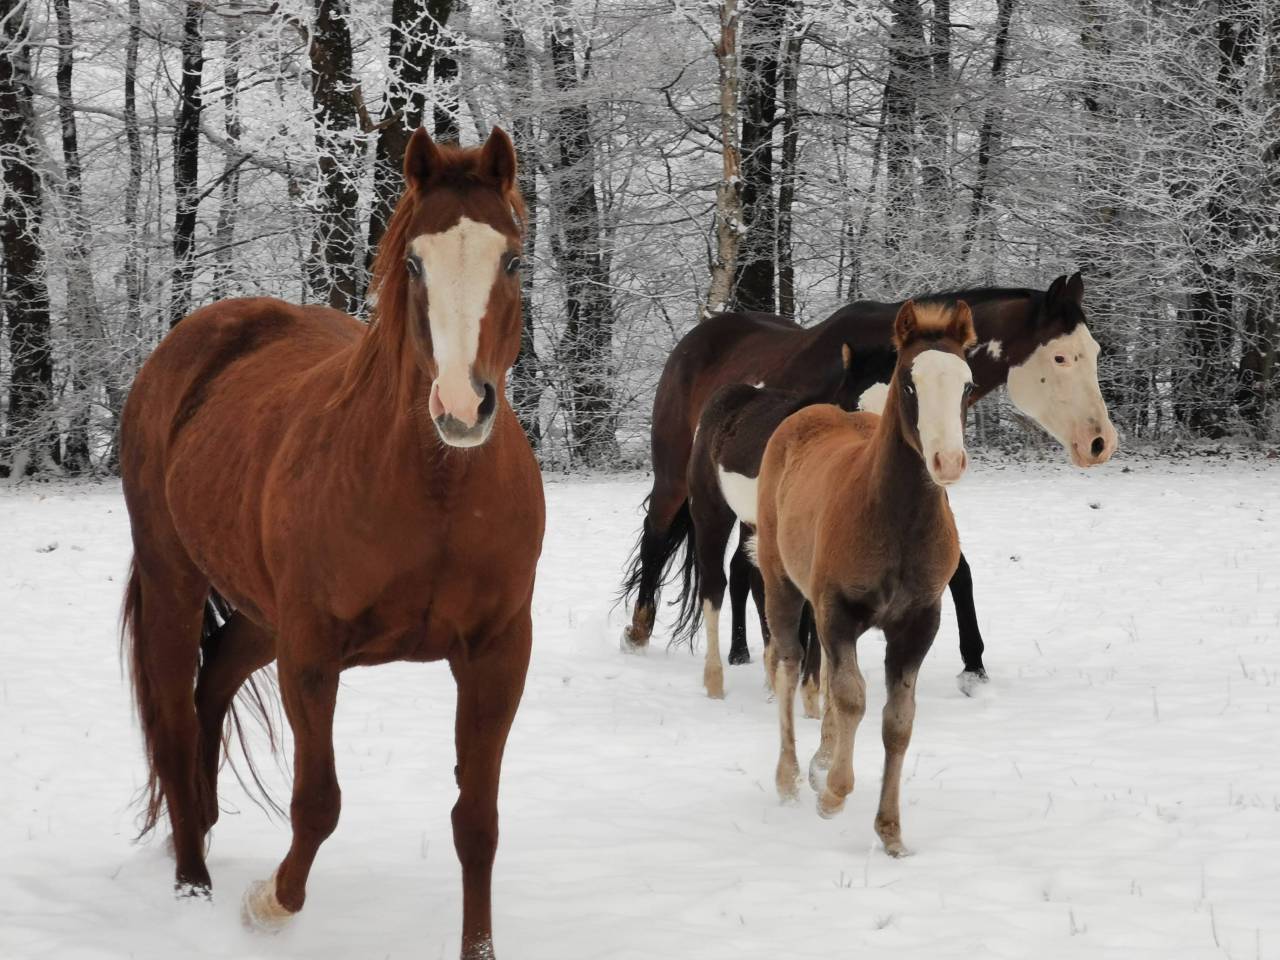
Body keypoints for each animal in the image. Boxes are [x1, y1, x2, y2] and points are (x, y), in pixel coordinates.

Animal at [118, 128, 542, 960]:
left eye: (510, 259)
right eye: (414, 263)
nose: (460, 405)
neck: (436, 493)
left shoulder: (499, 652)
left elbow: (477, 822)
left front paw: (478, 949)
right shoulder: (312, 651)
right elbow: (318, 802)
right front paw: (266, 906)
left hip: (260, 616)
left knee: (213, 685)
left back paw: (204, 829)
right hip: (177, 585)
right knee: (177, 718)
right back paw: (193, 881)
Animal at [620, 274, 1117, 677]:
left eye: (1094, 352)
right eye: (1060, 357)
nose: (1100, 443)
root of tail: (697, 338)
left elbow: (960, 571)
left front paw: (974, 665)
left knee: (743, 569)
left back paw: (743, 651)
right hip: (676, 480)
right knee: (657, 536)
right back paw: (639, 632)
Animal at [755, 300, 976, 857]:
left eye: (967, 385)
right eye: (910, 384)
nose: (948, 461)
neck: (894, 521)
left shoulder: (918, 625)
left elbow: (897, 721)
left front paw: (891, 831)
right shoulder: (838, 613)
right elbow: (852, 698)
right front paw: (833, 794)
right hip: (781, 586)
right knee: (789, 665)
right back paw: (790, 777)